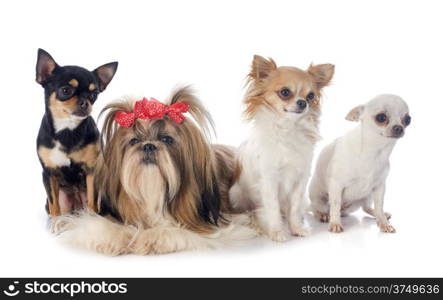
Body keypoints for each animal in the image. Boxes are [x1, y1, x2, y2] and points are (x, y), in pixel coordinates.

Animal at [52, 85, 255, 254]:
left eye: (167, 139)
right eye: (134, 140)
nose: (148, 145)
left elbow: (178, 231)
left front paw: (149, 238)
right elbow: (98, 226)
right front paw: (112, 238)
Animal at [229, 54, 336, 241]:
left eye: (310, 96)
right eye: (285, 92)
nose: (302, 102)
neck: (288, 128)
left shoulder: (300, 179)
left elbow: (294, 207)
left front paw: (297, 228)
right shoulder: (269, 180)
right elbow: (272, 208)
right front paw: (277, 231)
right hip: (236, 195)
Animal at [310, 94, 412, 232]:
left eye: (407, 120)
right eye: (381, 117)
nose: (399, 128)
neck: (374, 151)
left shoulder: (379, 187)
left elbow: (379, 205)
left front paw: (384, 223)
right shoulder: (336, 185)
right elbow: (335, 204)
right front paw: (335, 223)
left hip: (365, 197)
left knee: (366, 207)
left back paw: (379, 215)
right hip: (318, 197)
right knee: (316, 208)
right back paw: (323, 215)